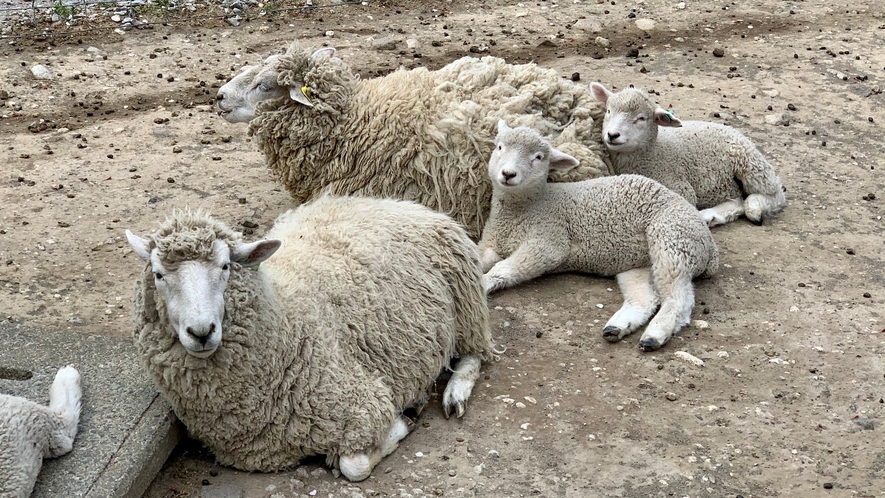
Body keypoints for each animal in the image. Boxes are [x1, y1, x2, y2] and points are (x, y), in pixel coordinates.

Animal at [125, 198, 498, 482]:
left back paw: (455, 392)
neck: (285, 319)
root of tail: (398, 202)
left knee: (475, 355)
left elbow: (353, 466)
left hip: (467, 301)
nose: (201, 332)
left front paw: (401, 423)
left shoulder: (361, 402)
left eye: (226, 266)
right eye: (158, 275)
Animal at [476, 121, 720, 352]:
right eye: (499, 147)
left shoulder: (549, 239)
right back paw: (618, 327)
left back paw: (655, 335)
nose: (508, 174)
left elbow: (504, 268)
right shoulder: (491, 243)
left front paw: (485, 282)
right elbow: (480, 258)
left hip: (673, 240)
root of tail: (711, 248)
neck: (526, 207)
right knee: (646, 299)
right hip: (637, 262)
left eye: (538, 157)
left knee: (678, 298)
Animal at [588, 82, 788, 228]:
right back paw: (711, 216)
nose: (612, 135)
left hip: (751, 165)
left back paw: (754, 208)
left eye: (641, 118)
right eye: (608, 111)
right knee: (738, 200)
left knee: (775, 195)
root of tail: (733, 130)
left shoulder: (681, 188)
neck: (652, 154)